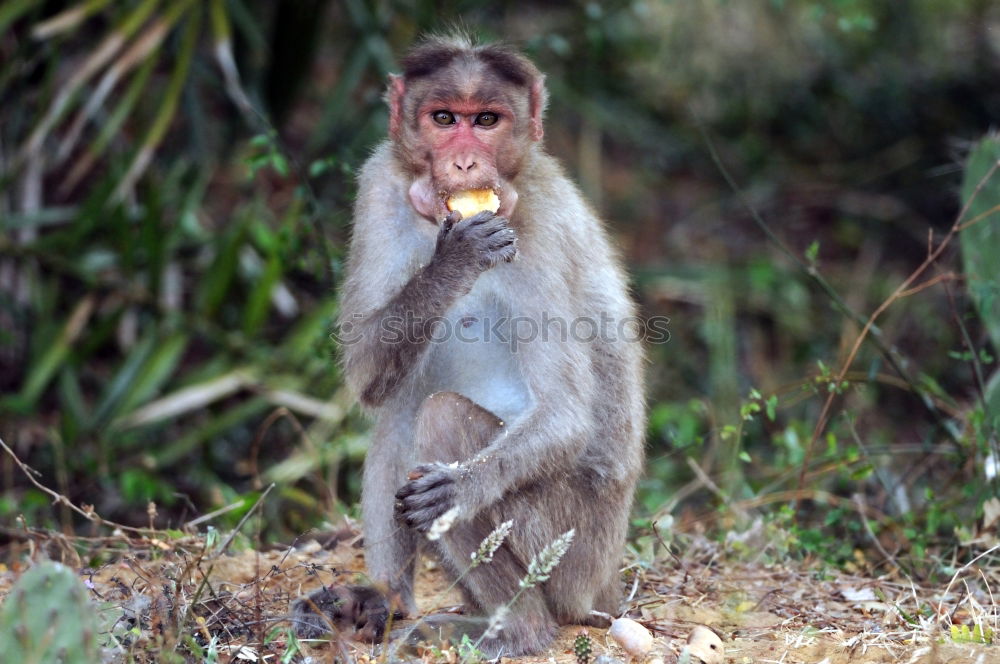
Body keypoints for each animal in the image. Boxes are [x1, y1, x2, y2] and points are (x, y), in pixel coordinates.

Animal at [292, 33, 644, 656]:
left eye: (485, 121)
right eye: (443, 119)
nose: (463, 162)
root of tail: (604, 589)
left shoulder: (539, 232)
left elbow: (564, 414)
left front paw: (462, 488)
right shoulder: (379, 183)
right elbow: (365, 368)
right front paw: (453, 261)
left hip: (569, 550)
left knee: (440, 416)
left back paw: (519, 632)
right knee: (402, 409)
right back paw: (387, 597)